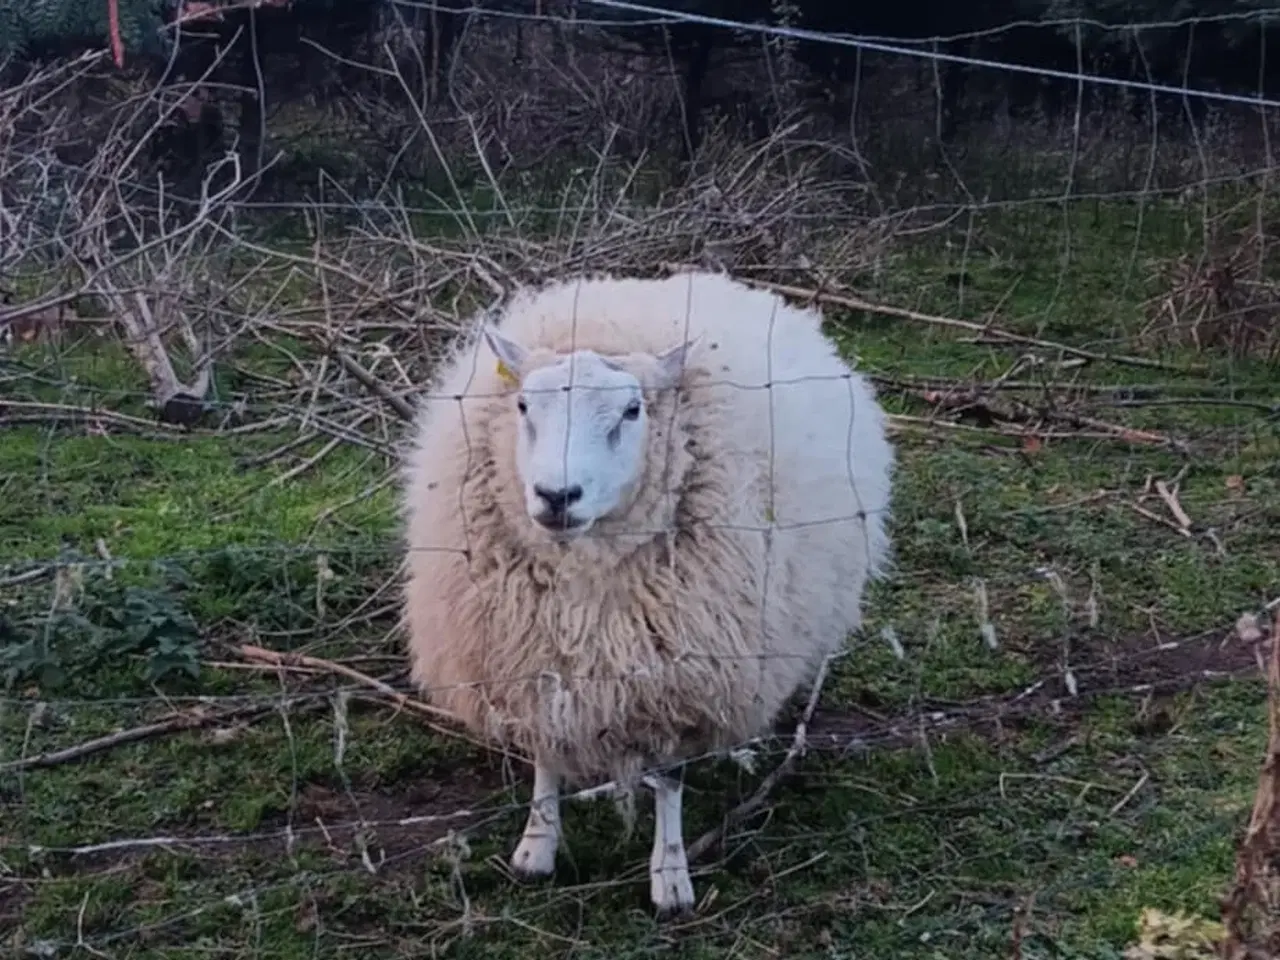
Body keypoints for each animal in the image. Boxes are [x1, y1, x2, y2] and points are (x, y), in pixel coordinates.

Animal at [399, 271, 890, 916]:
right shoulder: (530, 654)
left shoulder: (682, 674)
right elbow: (545, 753)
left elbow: (671, 779)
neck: (584, 580)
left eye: (633, 411)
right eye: (524, 405)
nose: (557, 496)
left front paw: (671, 876)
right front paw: (536, 846)